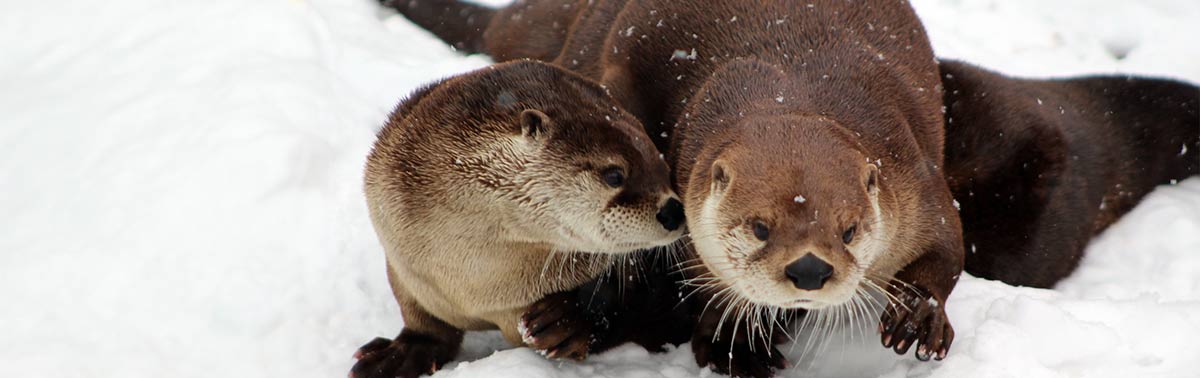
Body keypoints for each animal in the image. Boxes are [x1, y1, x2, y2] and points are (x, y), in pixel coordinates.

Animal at [350, 60, 686, 378]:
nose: (674, 211)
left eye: (664, 169)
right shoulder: (403, 264)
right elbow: (425, 324)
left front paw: (567, 320)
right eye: (614, 175)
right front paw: (399, 354)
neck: (479, 281)